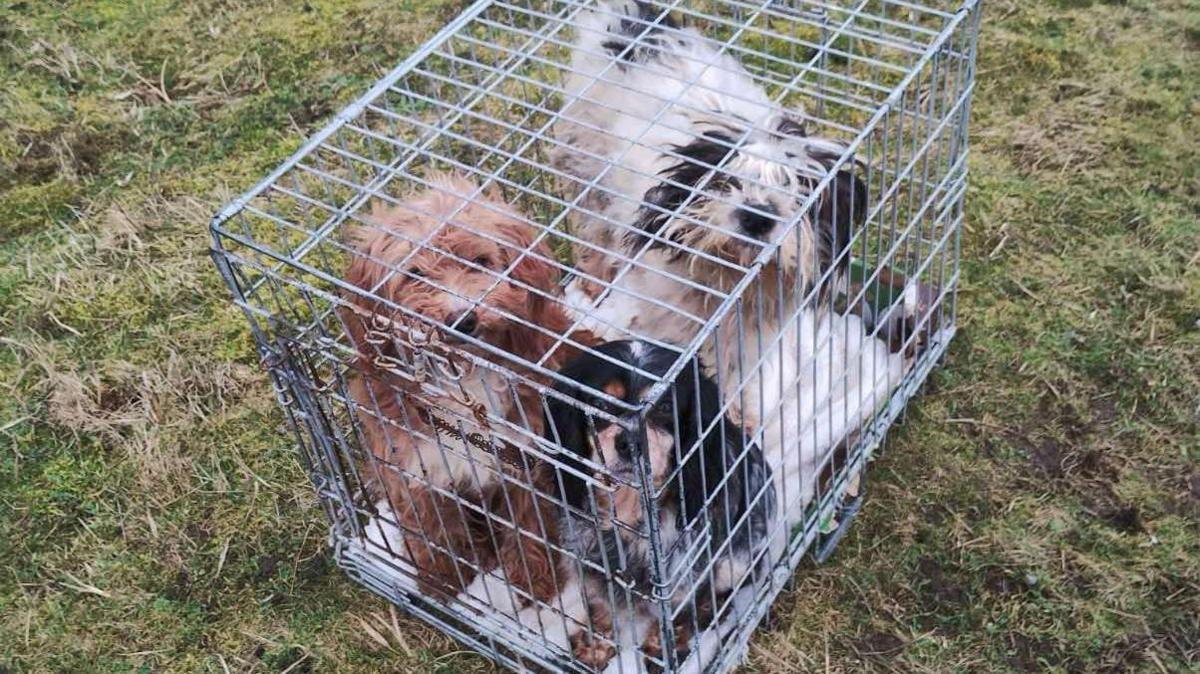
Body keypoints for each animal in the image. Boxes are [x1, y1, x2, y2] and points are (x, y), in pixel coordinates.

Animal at [547, 340, 772, 666]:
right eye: (600, 404)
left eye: (665, 407)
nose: (630, 443)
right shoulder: (590, 564)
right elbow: (603, 606)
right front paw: (596, 645)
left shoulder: (688, 574)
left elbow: (678, 613)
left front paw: (663, 651)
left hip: (738, 560)